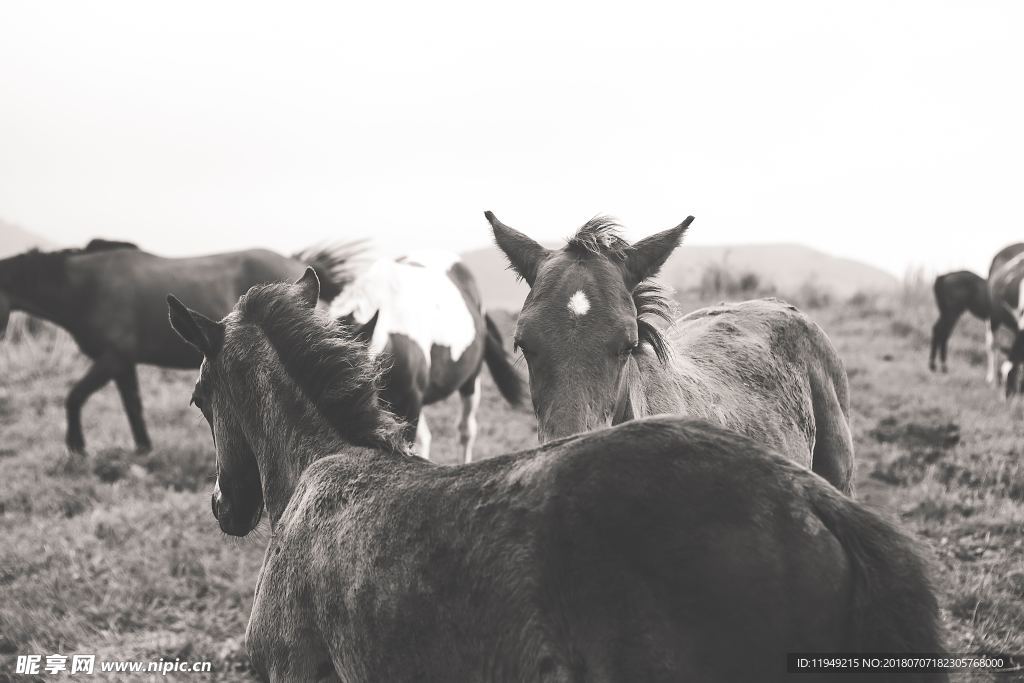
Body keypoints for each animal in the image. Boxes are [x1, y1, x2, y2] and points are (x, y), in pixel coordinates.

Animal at [0, 240, 356, 454]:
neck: (86, 287)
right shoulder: (123, 363)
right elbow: (133, 405)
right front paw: (143, 449)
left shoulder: (112, 359)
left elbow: (74, 397)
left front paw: (76, 448)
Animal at [978, 244, 1024, 395]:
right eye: (1004, 378)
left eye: (1011, 378)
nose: (1003, 398)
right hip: (992, 315)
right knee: (992, 345)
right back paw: (991, 380)